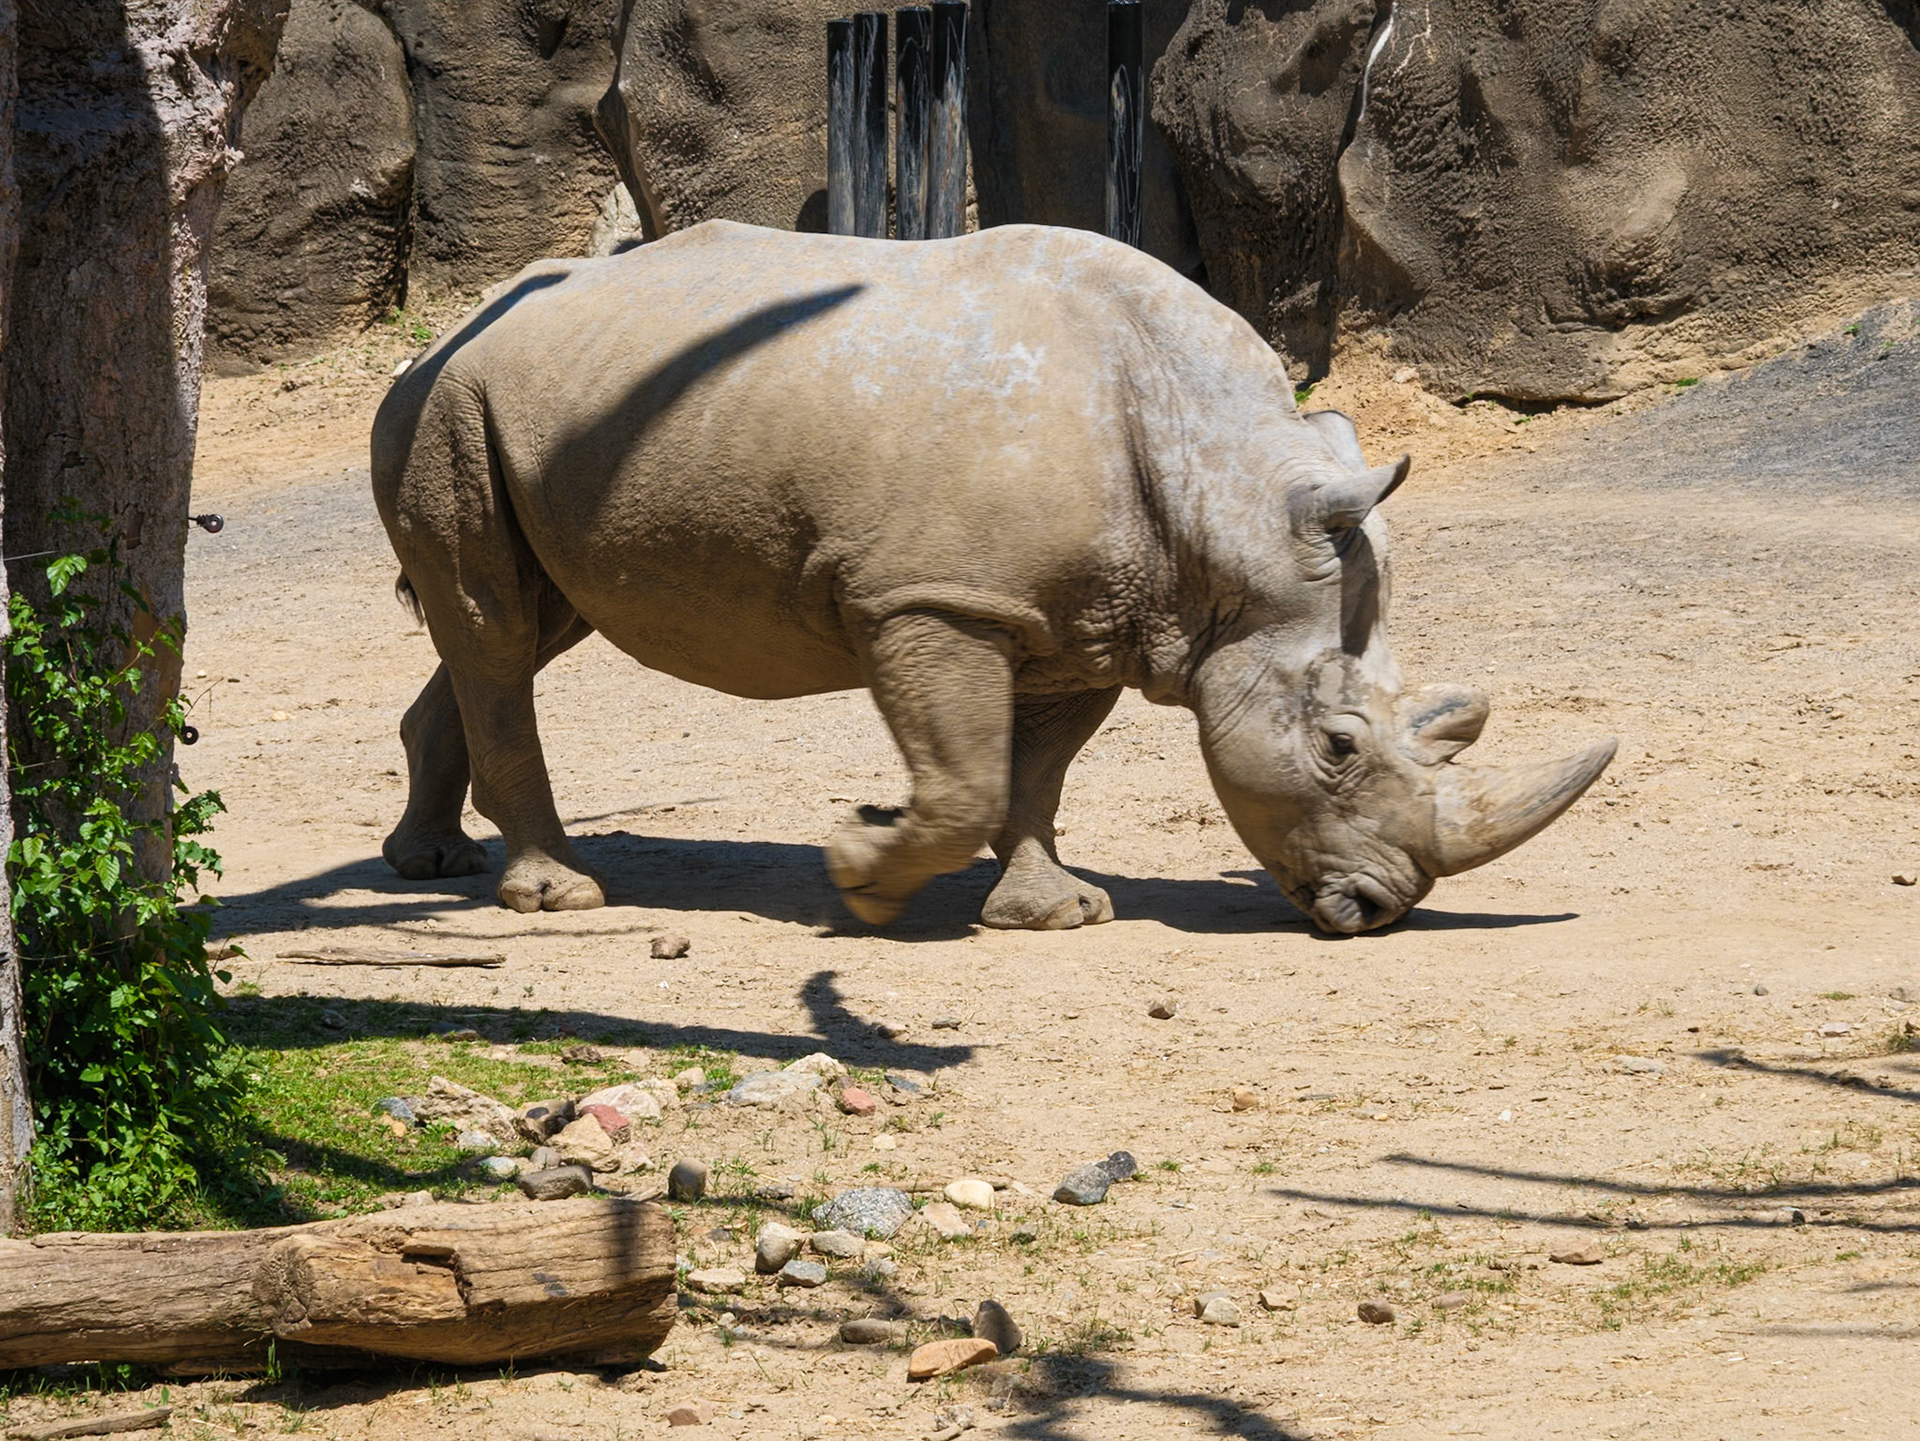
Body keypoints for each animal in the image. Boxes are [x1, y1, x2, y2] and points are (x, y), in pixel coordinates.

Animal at [372, 220, 1613, 934]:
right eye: (1340, 747)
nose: (1381, 909)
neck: (1224, 501)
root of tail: (451, 326)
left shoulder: (1097, 617)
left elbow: (1034, 771)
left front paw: (1054, 914)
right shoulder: (931, 598)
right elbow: (967, 776)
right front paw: (862, 875)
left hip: (564, 409)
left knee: (525, 625)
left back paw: (431, 863)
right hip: (453, 402)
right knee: (495, 624)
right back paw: (557, 896)